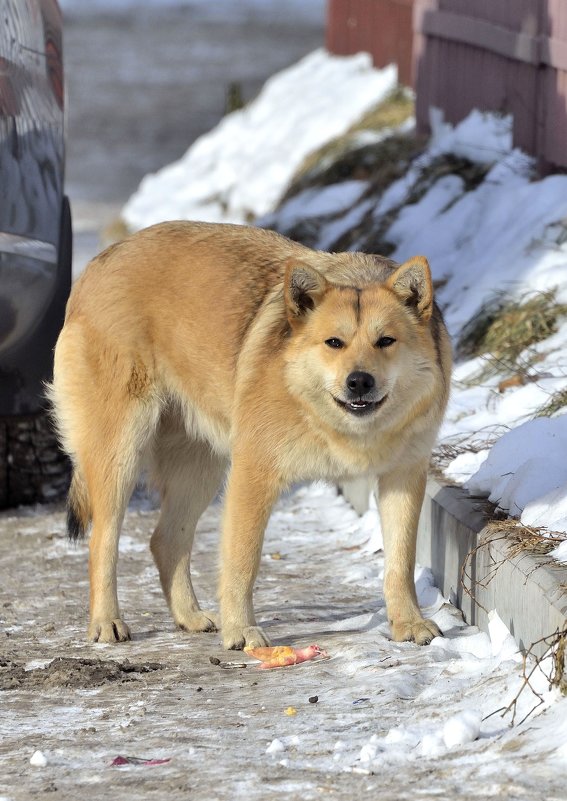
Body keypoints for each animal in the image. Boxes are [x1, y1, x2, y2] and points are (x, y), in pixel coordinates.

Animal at [51, 220, 454, 648]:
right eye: (334, 343)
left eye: (386, 341)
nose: (359, 381)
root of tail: (98, 263)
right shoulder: (253, 475)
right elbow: (243, 560)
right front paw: (241, 630)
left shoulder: (403, 476)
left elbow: (401, 559)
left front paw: (408, 621)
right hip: (121, 453)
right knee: (102, 540)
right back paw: (106, 621)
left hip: (199, 468)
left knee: (165, 540)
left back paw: (190, 616)